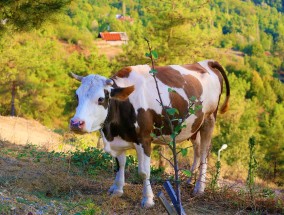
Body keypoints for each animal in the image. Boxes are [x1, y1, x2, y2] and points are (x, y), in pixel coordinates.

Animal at [70, 59, 230, 207]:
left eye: (101, 99)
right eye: (77, 96)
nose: (76, 123)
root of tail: (205, 62)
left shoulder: (144, 139)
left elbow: (144, 172)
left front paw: (148, 199)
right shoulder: (118, 139)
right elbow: (120, 164)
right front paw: (117, 189)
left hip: (209, 119)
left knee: (204, 153)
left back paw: (199, 188)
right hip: (193, 126)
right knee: (196, 150)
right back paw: (190, 180)